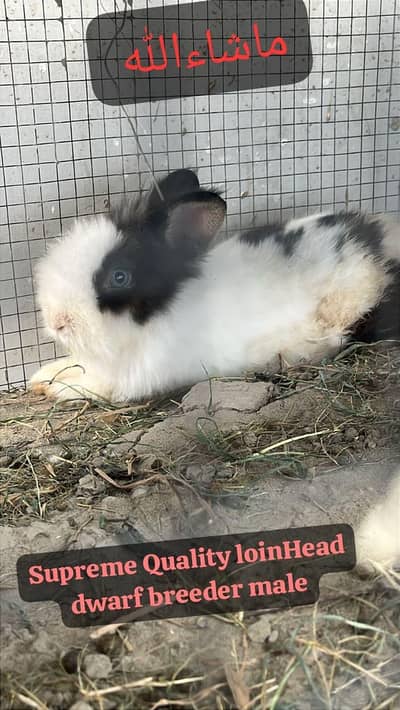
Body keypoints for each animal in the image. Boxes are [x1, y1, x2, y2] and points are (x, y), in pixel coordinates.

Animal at [29, 168, 400, 403]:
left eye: (120, 277)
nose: (57, 321)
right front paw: (42, 376)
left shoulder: (125, 380)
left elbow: (91, 387)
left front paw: (53, 389)